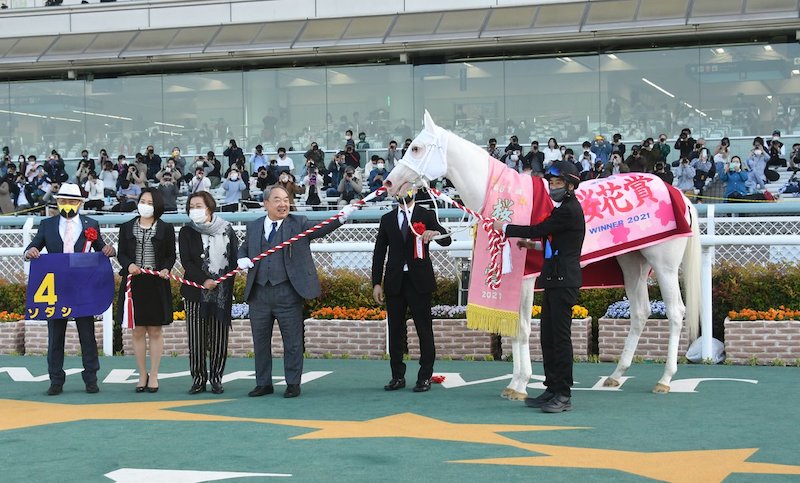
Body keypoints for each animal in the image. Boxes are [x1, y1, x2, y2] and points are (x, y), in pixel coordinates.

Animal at [382, 111, 700, 398]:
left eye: (416, 148)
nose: (389, 183)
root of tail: (677, 194)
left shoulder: (522, 281)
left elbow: (522, 329)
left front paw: (520, 384)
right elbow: (515, 329)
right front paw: (516, 383)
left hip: (664, 265)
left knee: (675, 312)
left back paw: (665, 379)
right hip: (632, 262)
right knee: (640, 313)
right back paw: (616, 375)